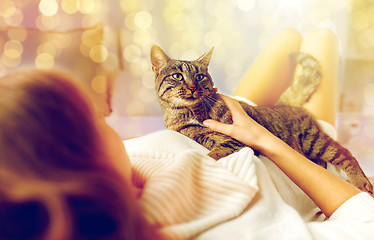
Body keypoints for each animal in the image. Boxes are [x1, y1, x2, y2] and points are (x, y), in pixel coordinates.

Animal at [150, 45, 374, 195]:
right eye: (178, 76)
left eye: (200, 77)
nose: (193, 87)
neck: (192, 111)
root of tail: (284, 104)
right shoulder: (198, 134)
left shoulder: (237, 137)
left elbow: (216, 153)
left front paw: (205, 162)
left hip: (314, 141)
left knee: (345, 153)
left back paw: (361, 182)